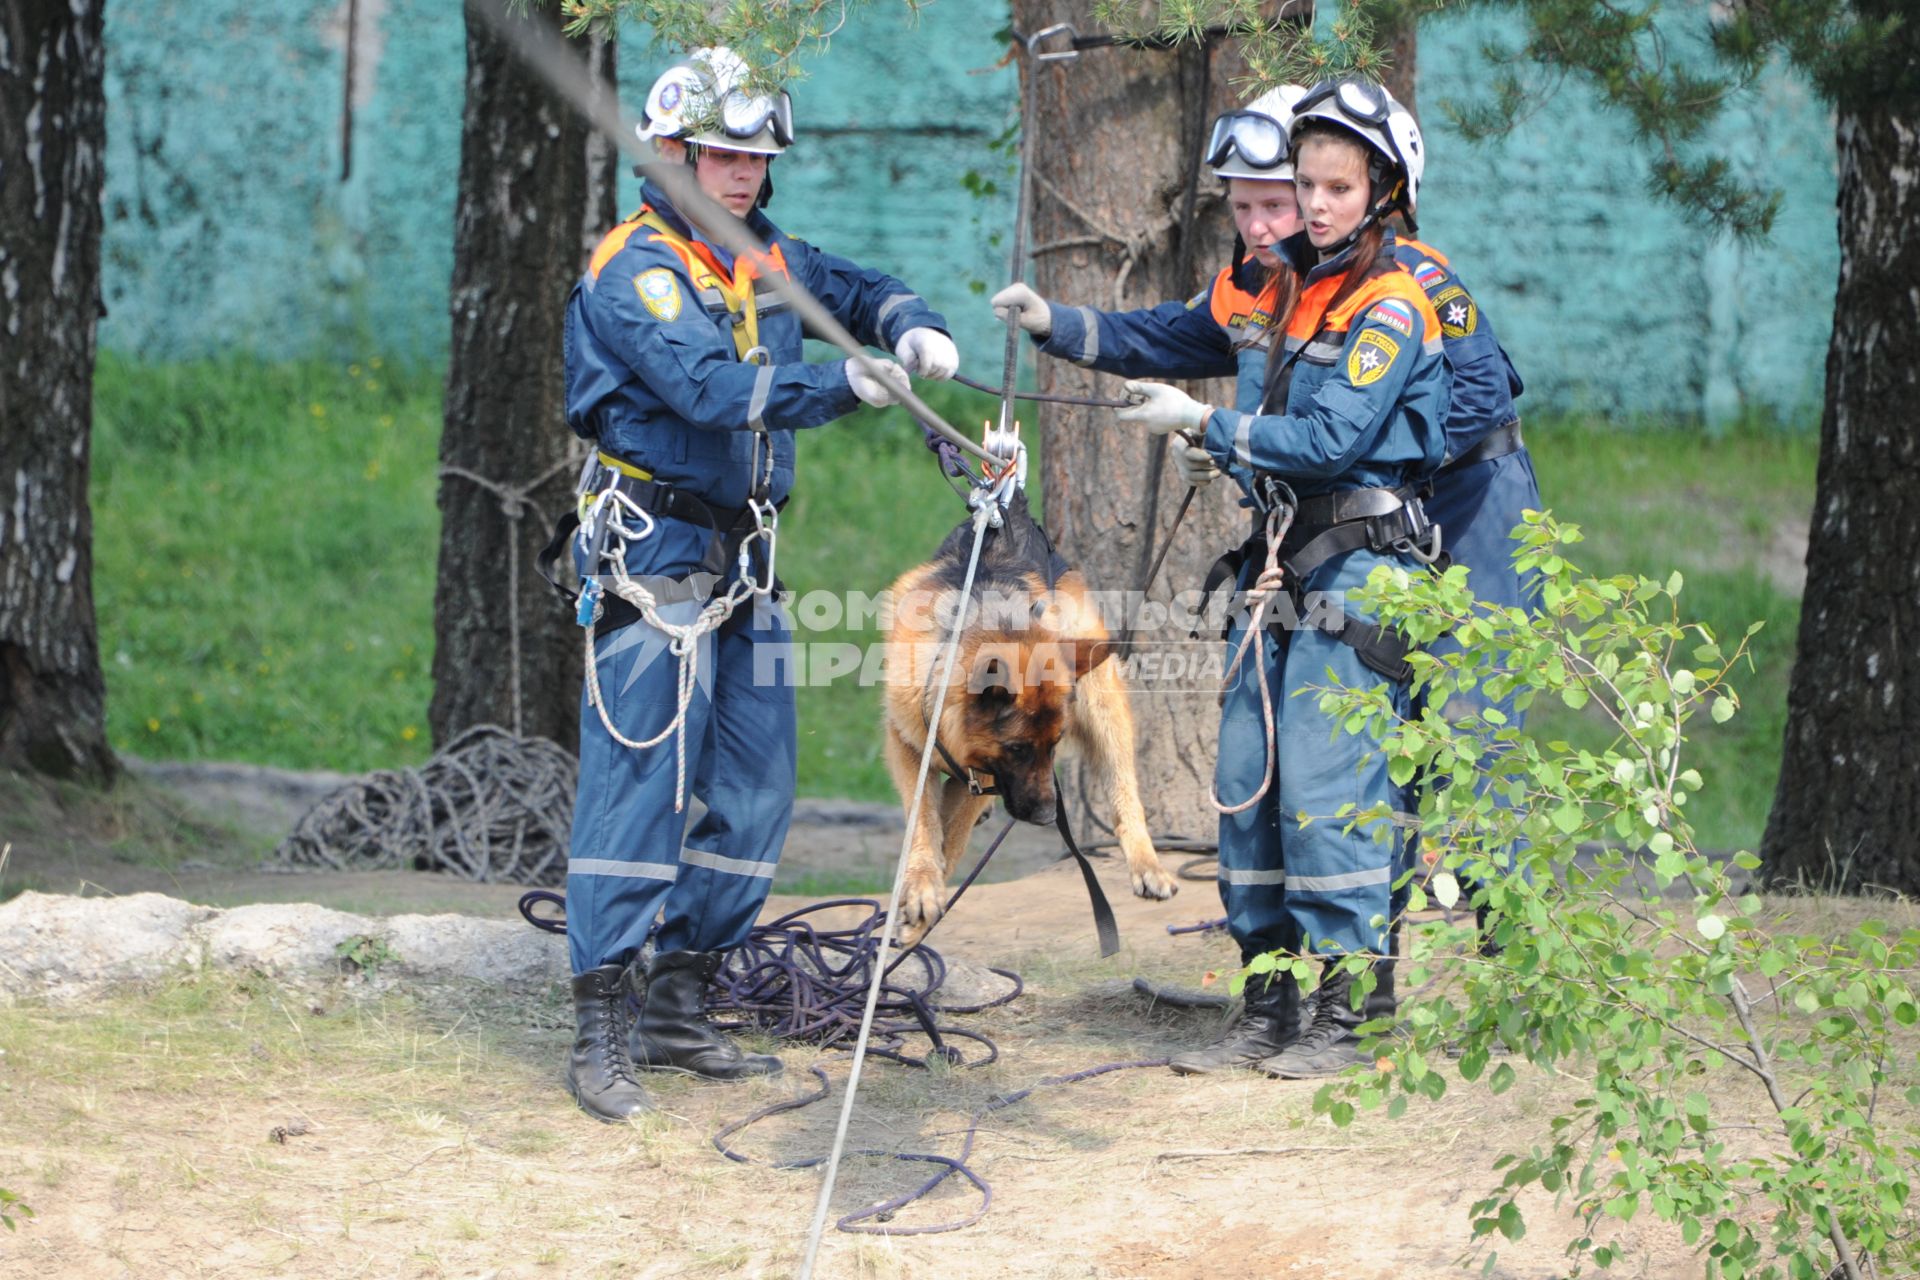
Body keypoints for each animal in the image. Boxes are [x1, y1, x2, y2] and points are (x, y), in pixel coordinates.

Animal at [879, 491, 1167, 940]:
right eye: (1017, 748)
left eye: (1054, 745)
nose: (1050, 817)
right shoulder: (909, 745)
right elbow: (923, 821)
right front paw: (922, 884)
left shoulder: (985, 775)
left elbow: (952, 835)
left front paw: (922, 910)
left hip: (1102, 706)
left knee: (1124, 790)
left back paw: (1146, 864)